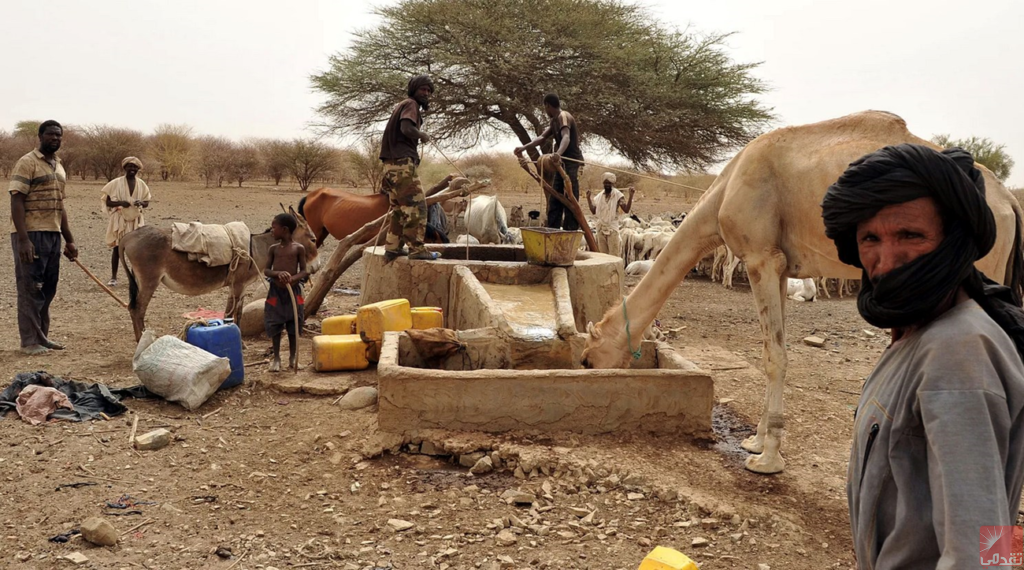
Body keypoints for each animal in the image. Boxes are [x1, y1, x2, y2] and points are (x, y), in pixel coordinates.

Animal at [116, 205, 317, 339]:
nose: (315, 267)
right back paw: (142, 342)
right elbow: (231, 313)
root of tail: (128, 236)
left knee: (134, 308)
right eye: (313, 239)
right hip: (149, 280)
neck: (255, 248)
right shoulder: (237, 285)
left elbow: (236, 313)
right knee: (137, 309)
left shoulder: (240, 286)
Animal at [581, 110, 1019, 470]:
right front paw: (756, 441)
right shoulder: (778, 265)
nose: (585, 365)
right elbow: (771, 349)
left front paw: (767, 458)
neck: (725, 190)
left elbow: (774, 356)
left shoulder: (760, 256)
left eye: (589, 355)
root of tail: (1009, 203)